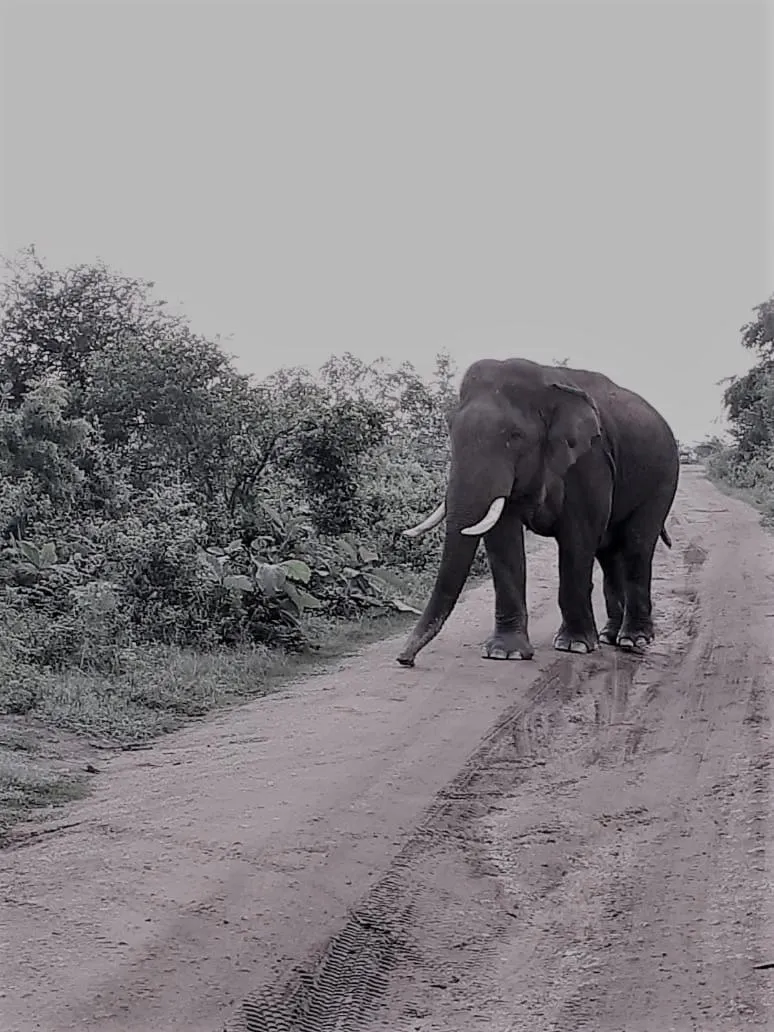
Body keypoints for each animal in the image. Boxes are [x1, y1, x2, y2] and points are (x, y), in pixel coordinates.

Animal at [396, 357, 679, 667]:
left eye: (515, 436)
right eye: (451, 432)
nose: (404, 659)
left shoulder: (589, 461)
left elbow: (578, 538)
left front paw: (574, 646)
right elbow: (502, 538)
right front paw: (504, 653)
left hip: (663, 478)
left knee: (637, 546)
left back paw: (633, 640)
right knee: (609, 552)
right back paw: (609, 636)